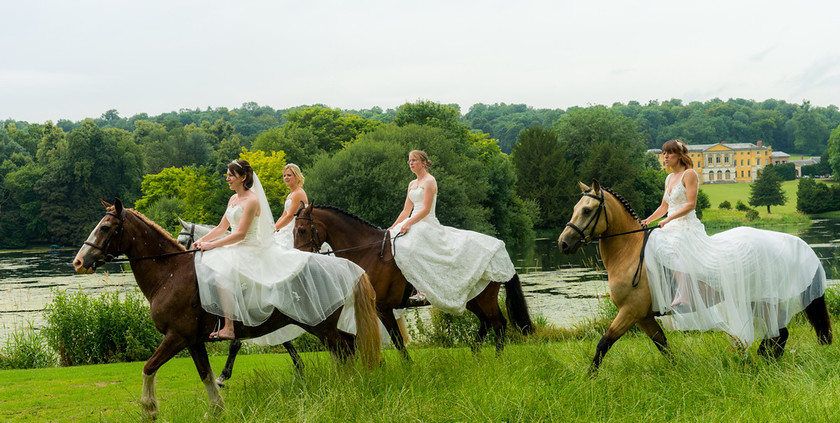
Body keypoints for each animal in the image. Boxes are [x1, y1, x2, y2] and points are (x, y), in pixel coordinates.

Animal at [72, 200, 380, 420]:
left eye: (106, 228)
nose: (79, 261)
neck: (170, 273)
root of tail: (341, 265)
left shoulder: (176, 337)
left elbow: (149, 367)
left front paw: (149, 408)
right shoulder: (192, 341)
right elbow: (206, 374)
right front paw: (217, 409)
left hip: (322, 326)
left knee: (346, 352)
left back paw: (348, 390)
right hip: (323, 326)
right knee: (346, 351)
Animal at [292, 203, 536, 358]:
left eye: (302, 230)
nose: (297, 258)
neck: (367, 250)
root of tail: (500, 248)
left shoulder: (383, 308)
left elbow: (397, 341)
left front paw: (407, 368)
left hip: (484, 298)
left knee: (499, 325)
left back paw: (496, 359)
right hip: (472, 298)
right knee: (486, 323)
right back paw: (476, 355)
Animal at [556, 181, 832, 372]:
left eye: (588, 210)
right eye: (575, 208)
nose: (563, 244)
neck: (630, 252)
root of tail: (797, 244)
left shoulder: (630, 311)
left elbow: (604, 343)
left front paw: (589, 378)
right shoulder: (643, 316)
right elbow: (662, 344)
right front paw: (676, 370)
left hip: (764, 300)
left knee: (778, 334)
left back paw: (763, 362)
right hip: (759, 301)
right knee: (778, 335)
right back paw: (764, 360)